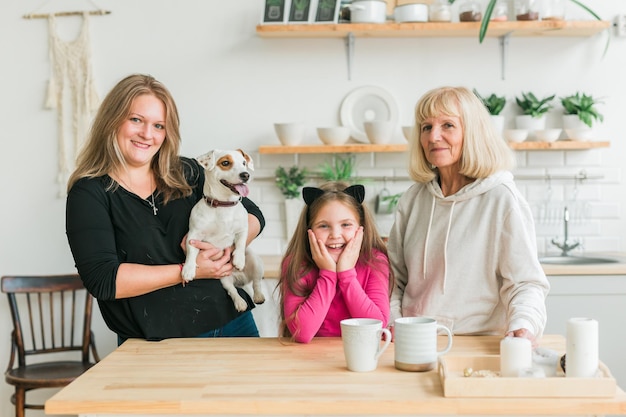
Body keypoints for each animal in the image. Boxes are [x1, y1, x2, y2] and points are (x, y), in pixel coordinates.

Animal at [183, 148, 266, 310]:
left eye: (244, 163)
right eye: (225, 163)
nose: (246, 175)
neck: (223, 205)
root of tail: (240, 279)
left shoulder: (243, 229)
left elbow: (240, 243)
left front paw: (238, 259)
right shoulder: (194, 235)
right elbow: (191, 252)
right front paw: (188, 269)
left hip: (255, 262)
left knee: (257, 282)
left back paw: (258, 296)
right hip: (223, 280)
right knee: (232, 290)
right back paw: (240, 302)